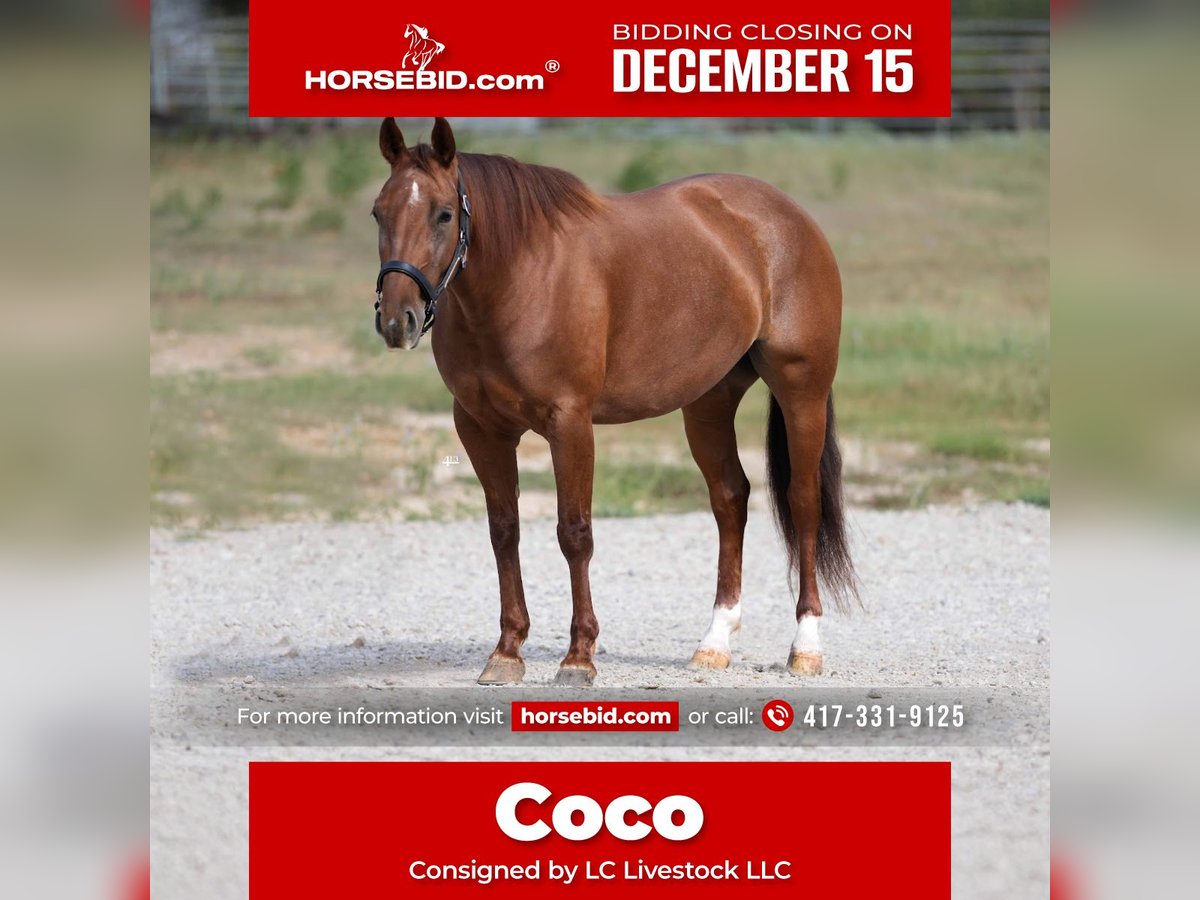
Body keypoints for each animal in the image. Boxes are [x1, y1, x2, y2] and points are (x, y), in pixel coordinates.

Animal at [371, 117, 858, 686]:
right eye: (378, 211)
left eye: (444, 213)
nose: (396, 320)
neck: (521, 278)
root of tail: (789, 215)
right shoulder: (480, 428)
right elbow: (504, 531)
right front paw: (507, 651)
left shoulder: (570, 424)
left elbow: (574, 533)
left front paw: (578, 656)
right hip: (709, 401)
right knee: (730, 498)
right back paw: (713, 642)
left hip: (803, 391)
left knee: (803, 503)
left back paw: (806, 646)